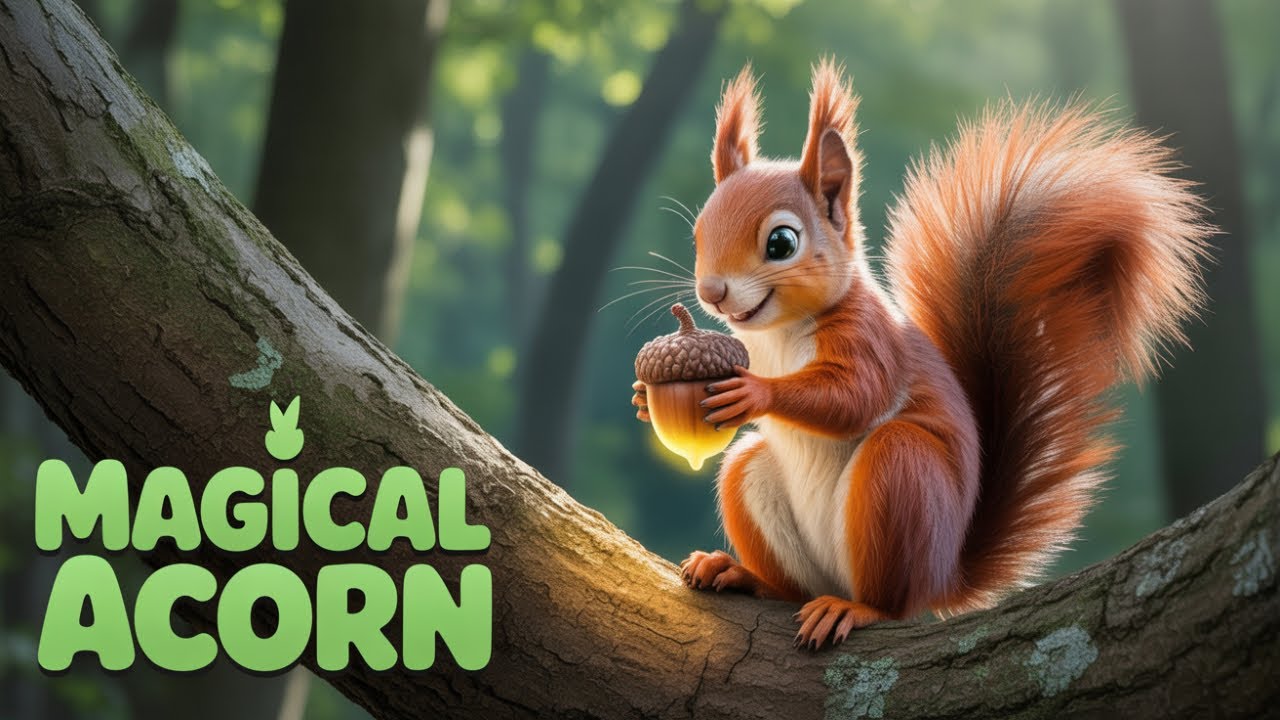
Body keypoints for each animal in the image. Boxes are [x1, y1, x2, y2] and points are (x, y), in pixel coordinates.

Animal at [630, 59, 1209, 649]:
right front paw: (641, 398)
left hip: (902, 478)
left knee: (892, 599)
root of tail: (944, 575)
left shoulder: (870, 341)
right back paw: (741, 573)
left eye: (781, 243)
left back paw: (854, 608)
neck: (777, 333)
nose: (711, 292)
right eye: (698, 234)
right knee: (788, 582)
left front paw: (755, 391)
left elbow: (855, 397)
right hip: (754, 480)